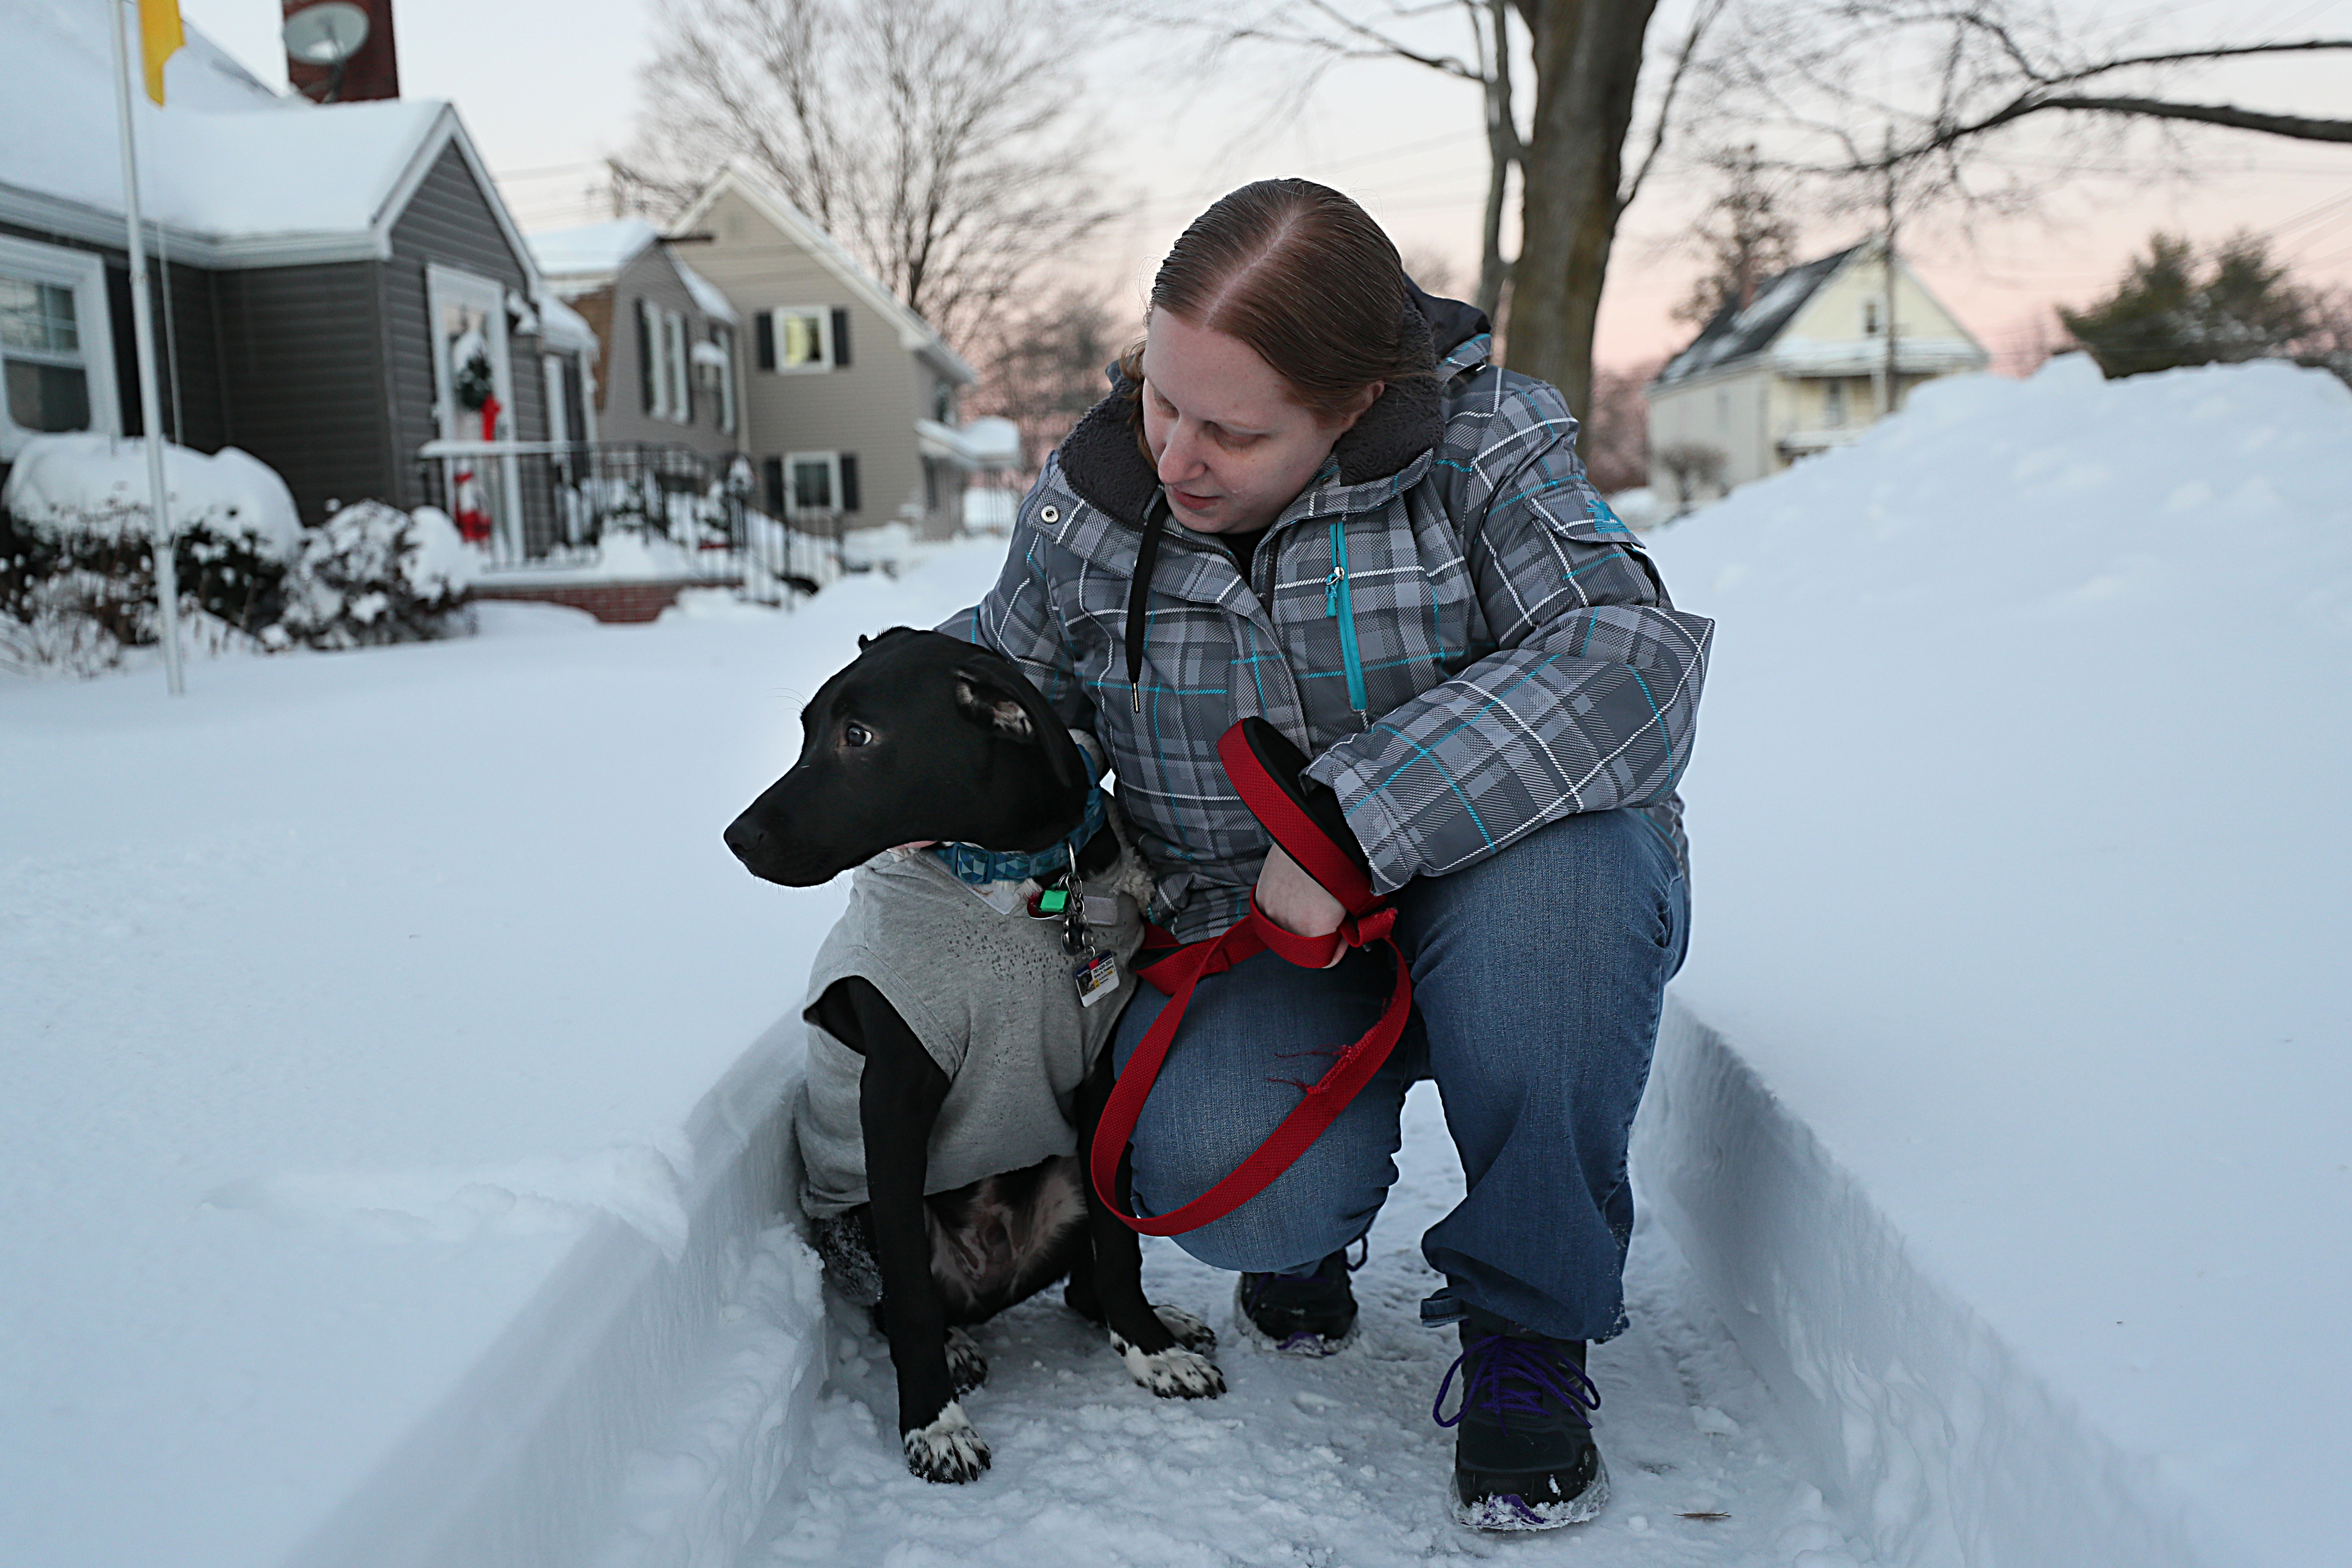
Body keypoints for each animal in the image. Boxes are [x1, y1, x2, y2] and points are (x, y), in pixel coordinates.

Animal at [724, 625, 1223, 1485]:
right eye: (809, 731)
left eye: (859, 737)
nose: (737, 837)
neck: (1017, 880)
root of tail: (997, 1280)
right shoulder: (893, 1103)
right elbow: (910, 1297)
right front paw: (934, 1423)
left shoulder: (1103, 1082)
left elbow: (1121, 1248)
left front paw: (1150, 1349)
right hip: (859, 1219)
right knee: (901, 1300)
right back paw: (955, 1347)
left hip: (1068, 1176)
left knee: (1084, 1282)